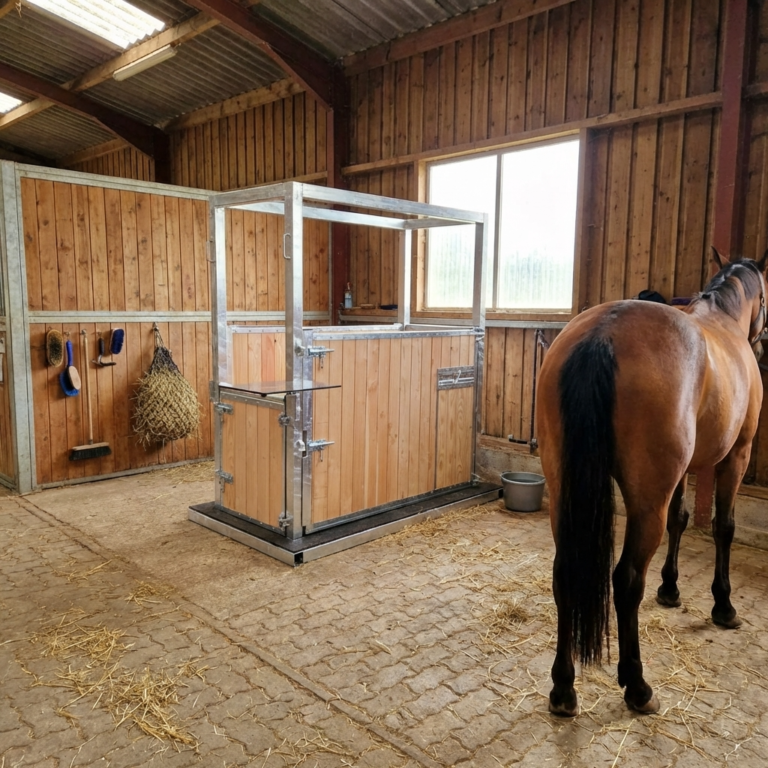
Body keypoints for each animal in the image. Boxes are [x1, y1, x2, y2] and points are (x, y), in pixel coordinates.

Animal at [536, 249, 768, 717]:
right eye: (767, 298)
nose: (764, 341)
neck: (724, 320)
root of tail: (604, 332)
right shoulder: (735, 457)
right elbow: (723, 527)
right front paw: (723, 605)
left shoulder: (684, 472)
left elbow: (682, 518)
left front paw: (671, 588)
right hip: (647, 500)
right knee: (626, 580)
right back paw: (637, 685)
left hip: (566, 489)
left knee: (564, 572)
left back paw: (564, 689)